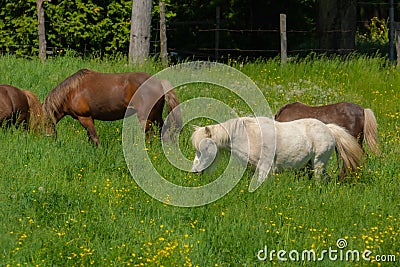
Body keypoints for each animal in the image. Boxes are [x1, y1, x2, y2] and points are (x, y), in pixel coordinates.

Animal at [42, 68, 183, 146]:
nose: (46, 141)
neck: (72, 91)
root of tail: (158, 82)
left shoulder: (85, 118)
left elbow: (94, 137)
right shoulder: (89, 119)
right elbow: (90, 138)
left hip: (145, 117)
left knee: (149, 133)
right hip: (155, 115)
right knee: (162, 130)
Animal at [192, 117, 364, 191]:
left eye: (203, 149)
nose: (195, 171)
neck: (247, 134)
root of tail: (328, 128)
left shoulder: (264, 167)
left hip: (318, 162)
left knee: (319, 179)